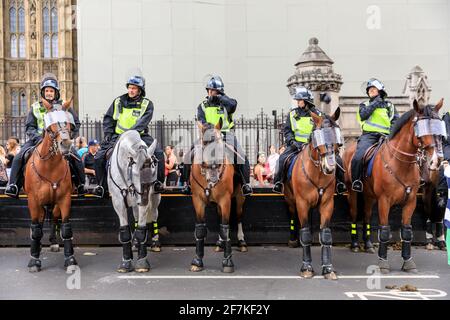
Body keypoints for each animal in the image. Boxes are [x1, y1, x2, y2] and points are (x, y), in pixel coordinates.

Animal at [24, 100, 77, 272]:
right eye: (49, 127)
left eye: (69, 124)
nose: (66, 144)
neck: (50, 167)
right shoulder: (33, 201)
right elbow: (36, 228)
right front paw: (34, 260)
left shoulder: (65, 199)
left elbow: (66, 227)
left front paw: (70, 259)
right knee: (39, 223)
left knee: (53, 216)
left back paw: (53, 242)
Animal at [107, 130, 160, 272]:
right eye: (136, 173)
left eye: (153, 169)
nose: (144, 200)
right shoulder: (118, 202)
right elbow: (125, 232)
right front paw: (126, 262)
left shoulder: (145, 200)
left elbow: (141, 231)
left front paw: (142, 261)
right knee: (136, 215)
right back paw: (135, 244)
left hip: (154, 198)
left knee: (154, 214)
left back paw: (155, 242)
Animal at [190, 119, 246, 272]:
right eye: (204, 143)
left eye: (221, 145)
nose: (214, 177)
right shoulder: (198, 201)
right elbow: (200, 229)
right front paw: (197, 261)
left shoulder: (225, 200)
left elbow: (225, 227)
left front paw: (227, 262)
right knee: (220, 217)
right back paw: (220, 243)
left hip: (239, 197)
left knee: (239, 217)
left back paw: (241, 241)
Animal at [284, 107, 342, 280]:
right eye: (319, 134)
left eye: (336, 133)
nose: (330, 167)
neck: (317, 174)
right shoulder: (302, 203)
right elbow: (306, 234)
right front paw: (307, 267)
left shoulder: (327, 204)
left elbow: (326, 235)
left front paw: (328, 268)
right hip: (291, 199)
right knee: (292, 214)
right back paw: (293, 240)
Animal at [344, 99, 442, 274]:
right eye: (421, 127)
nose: (436, 161)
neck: (400, 164)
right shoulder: (384, 201)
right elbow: (384, 231)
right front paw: (383, 262)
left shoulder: (410, 201)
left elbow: (407, 231)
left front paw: (408, 262)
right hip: (353, 192)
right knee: (354, 214)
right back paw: (355, 244)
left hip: (369, 196)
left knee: (367, 215)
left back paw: (367, 244)